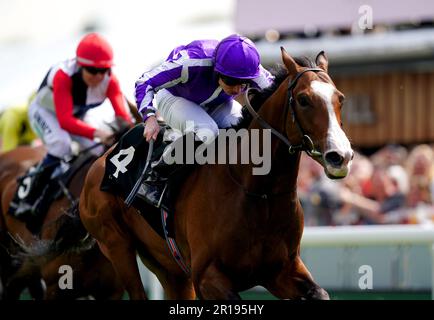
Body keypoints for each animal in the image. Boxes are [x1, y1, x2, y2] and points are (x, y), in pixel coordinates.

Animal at [79, 48, 354, 300]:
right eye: (304, 99)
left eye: (340, 99)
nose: (340, 156)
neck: (258, 190)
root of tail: (101, 161)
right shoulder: (207, 276)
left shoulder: (281, 271)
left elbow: (320, 293)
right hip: (117, 245)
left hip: (168, 267)